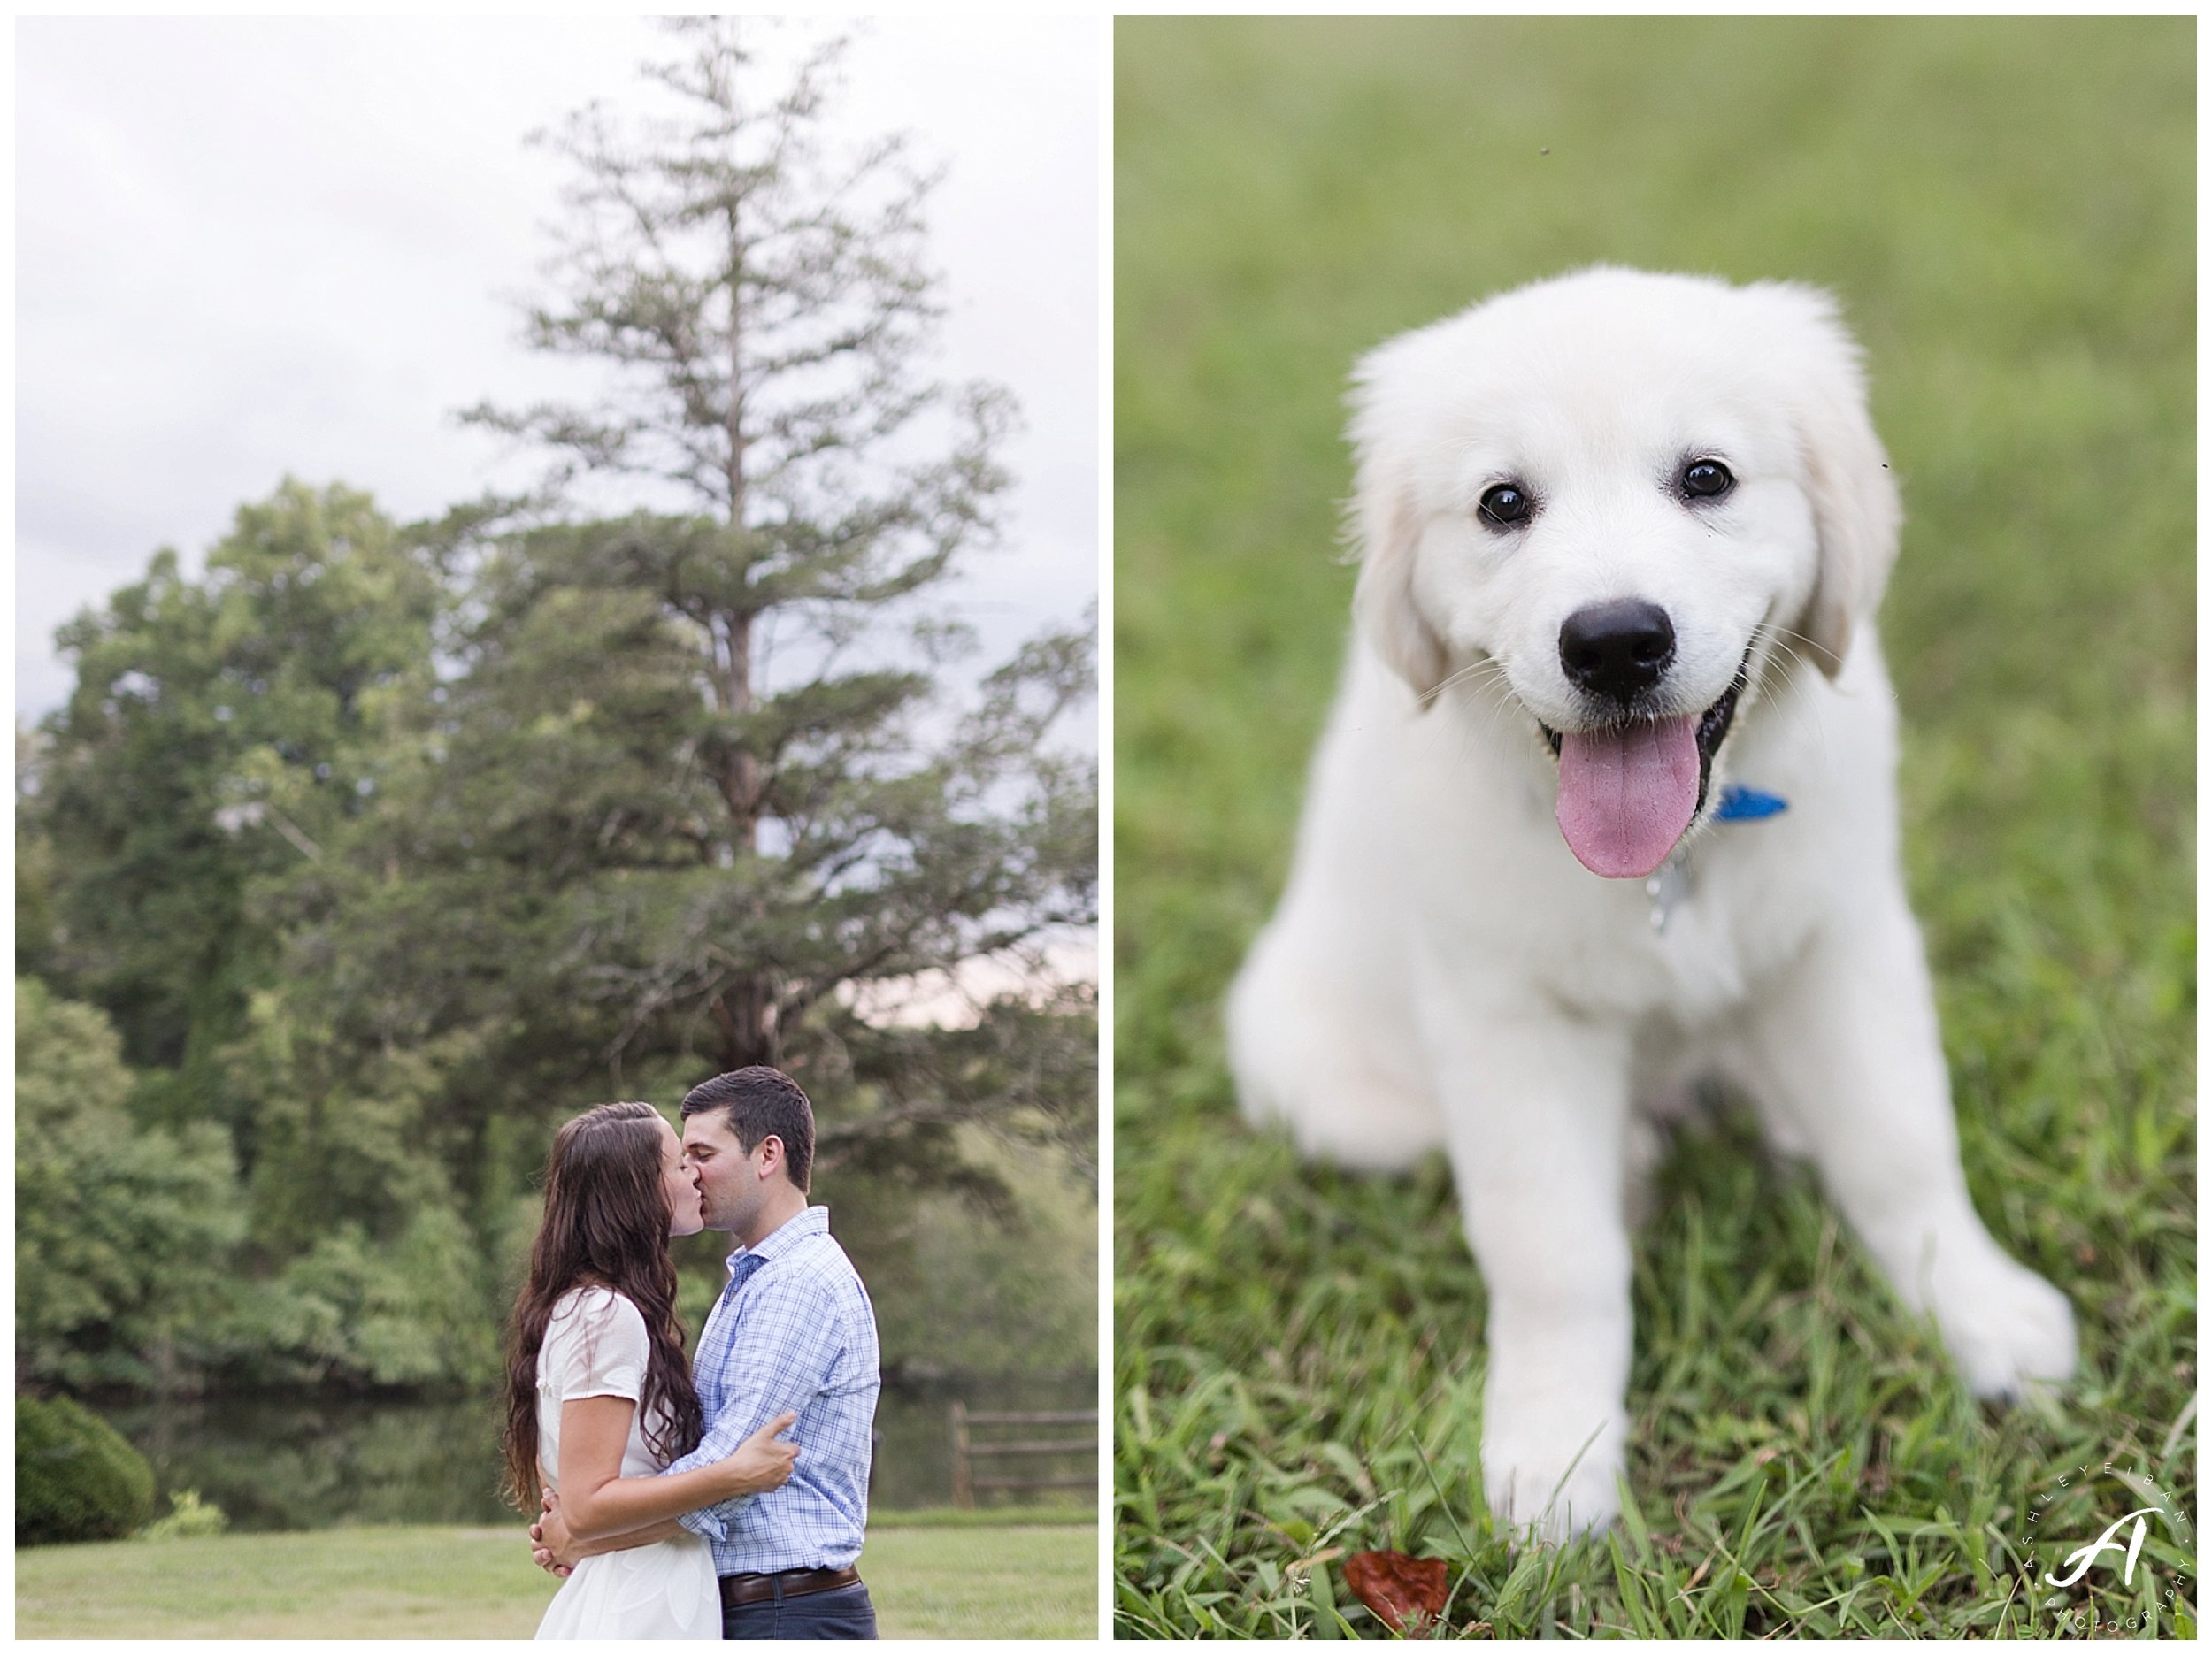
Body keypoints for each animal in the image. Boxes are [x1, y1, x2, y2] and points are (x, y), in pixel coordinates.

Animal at [1230, 265, 2070, 1548]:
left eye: (1706, 478)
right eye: (1503, 502)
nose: (1616, 641)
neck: (1674, 861)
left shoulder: (1842, 939)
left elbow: (1899, 1141)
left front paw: (1983, 1312)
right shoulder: (1508, 1015)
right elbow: (1553, 1248)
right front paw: (1555, 1458)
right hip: (1318, 1079)